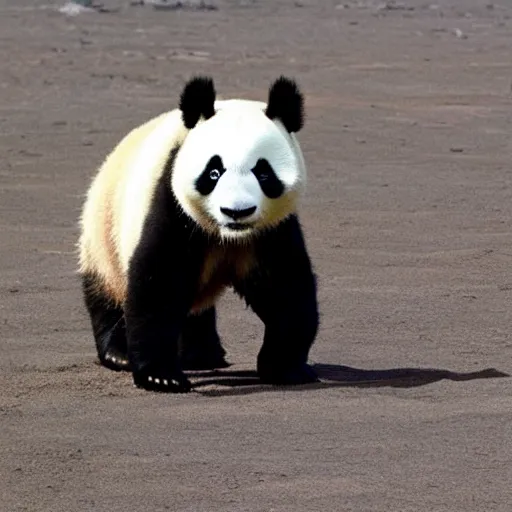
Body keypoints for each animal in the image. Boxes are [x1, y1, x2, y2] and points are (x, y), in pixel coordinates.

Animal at [79, 75, 320, 392]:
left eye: (263, 173)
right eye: (214, 172)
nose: (237, 212)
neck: (228, 236)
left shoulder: (271, 231)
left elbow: (286, 287)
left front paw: (285, 368)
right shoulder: (173, 207)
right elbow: (160, 282)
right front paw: (161, 376)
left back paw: (202, 354)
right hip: (104, 226)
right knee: (107, 289)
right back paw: (119, 353)